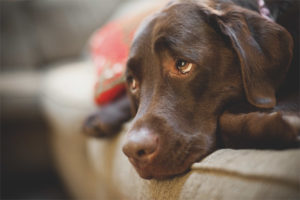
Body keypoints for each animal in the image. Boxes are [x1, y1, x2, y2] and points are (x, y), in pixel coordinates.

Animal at [83, 0, 298, 179]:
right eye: (133, 82)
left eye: (183, 65)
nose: (135, 150)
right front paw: (104, 114)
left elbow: (226, 121)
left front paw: (284, 125)